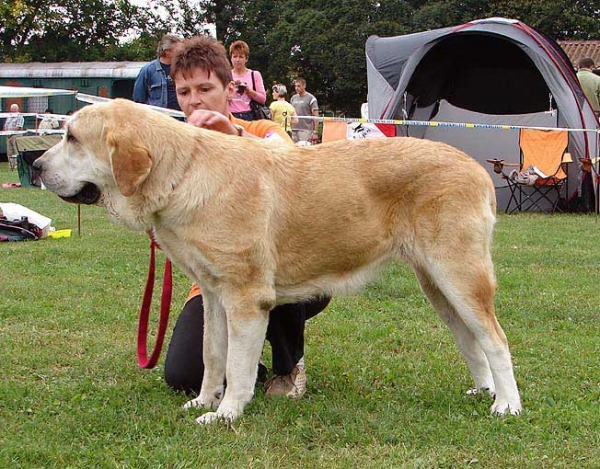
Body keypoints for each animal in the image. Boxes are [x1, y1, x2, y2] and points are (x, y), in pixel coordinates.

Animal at [32, 99, 524, 424]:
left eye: (72, 138)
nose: (35, 166)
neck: (183, 174)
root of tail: (477, 169)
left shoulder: (247, 299)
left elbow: (238, 366)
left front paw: (226, 414)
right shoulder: (214, 297)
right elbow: (213, 356)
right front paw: (204, 402)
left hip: (459, 275)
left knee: (495, 339)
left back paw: (507, 405)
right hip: (437, 285)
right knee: (470, 339)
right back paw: (483, 390)